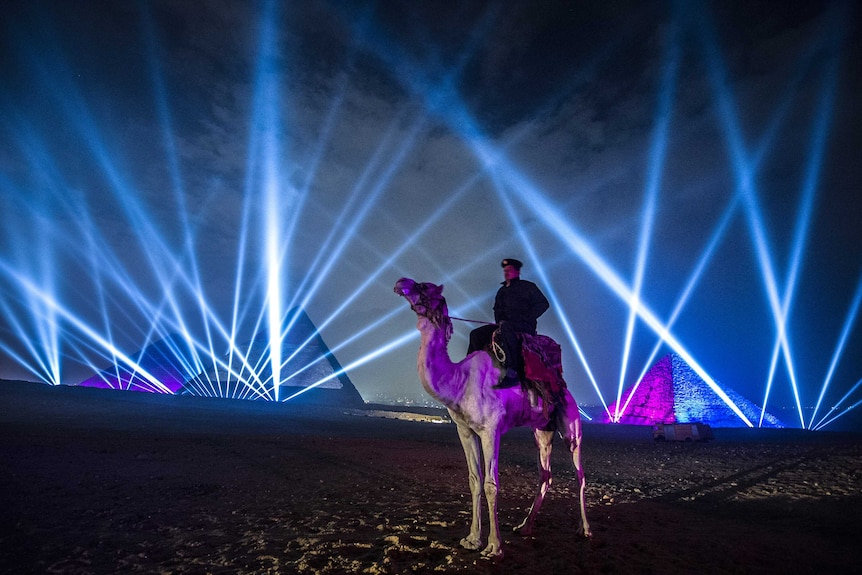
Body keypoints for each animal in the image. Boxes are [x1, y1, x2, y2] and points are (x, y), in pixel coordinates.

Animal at [394, 280, 592, 560]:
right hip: (542, 429)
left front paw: (493, 546)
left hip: (571, 423)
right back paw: (525, 526)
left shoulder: (491, 430)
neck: (459, 380)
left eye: (424, 286)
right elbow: (474, 481)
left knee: (580, 473)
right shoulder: (465, 430)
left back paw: (584, 529)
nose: (401, 283)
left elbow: (491, 484)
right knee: (546, 474)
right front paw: (471, 539)